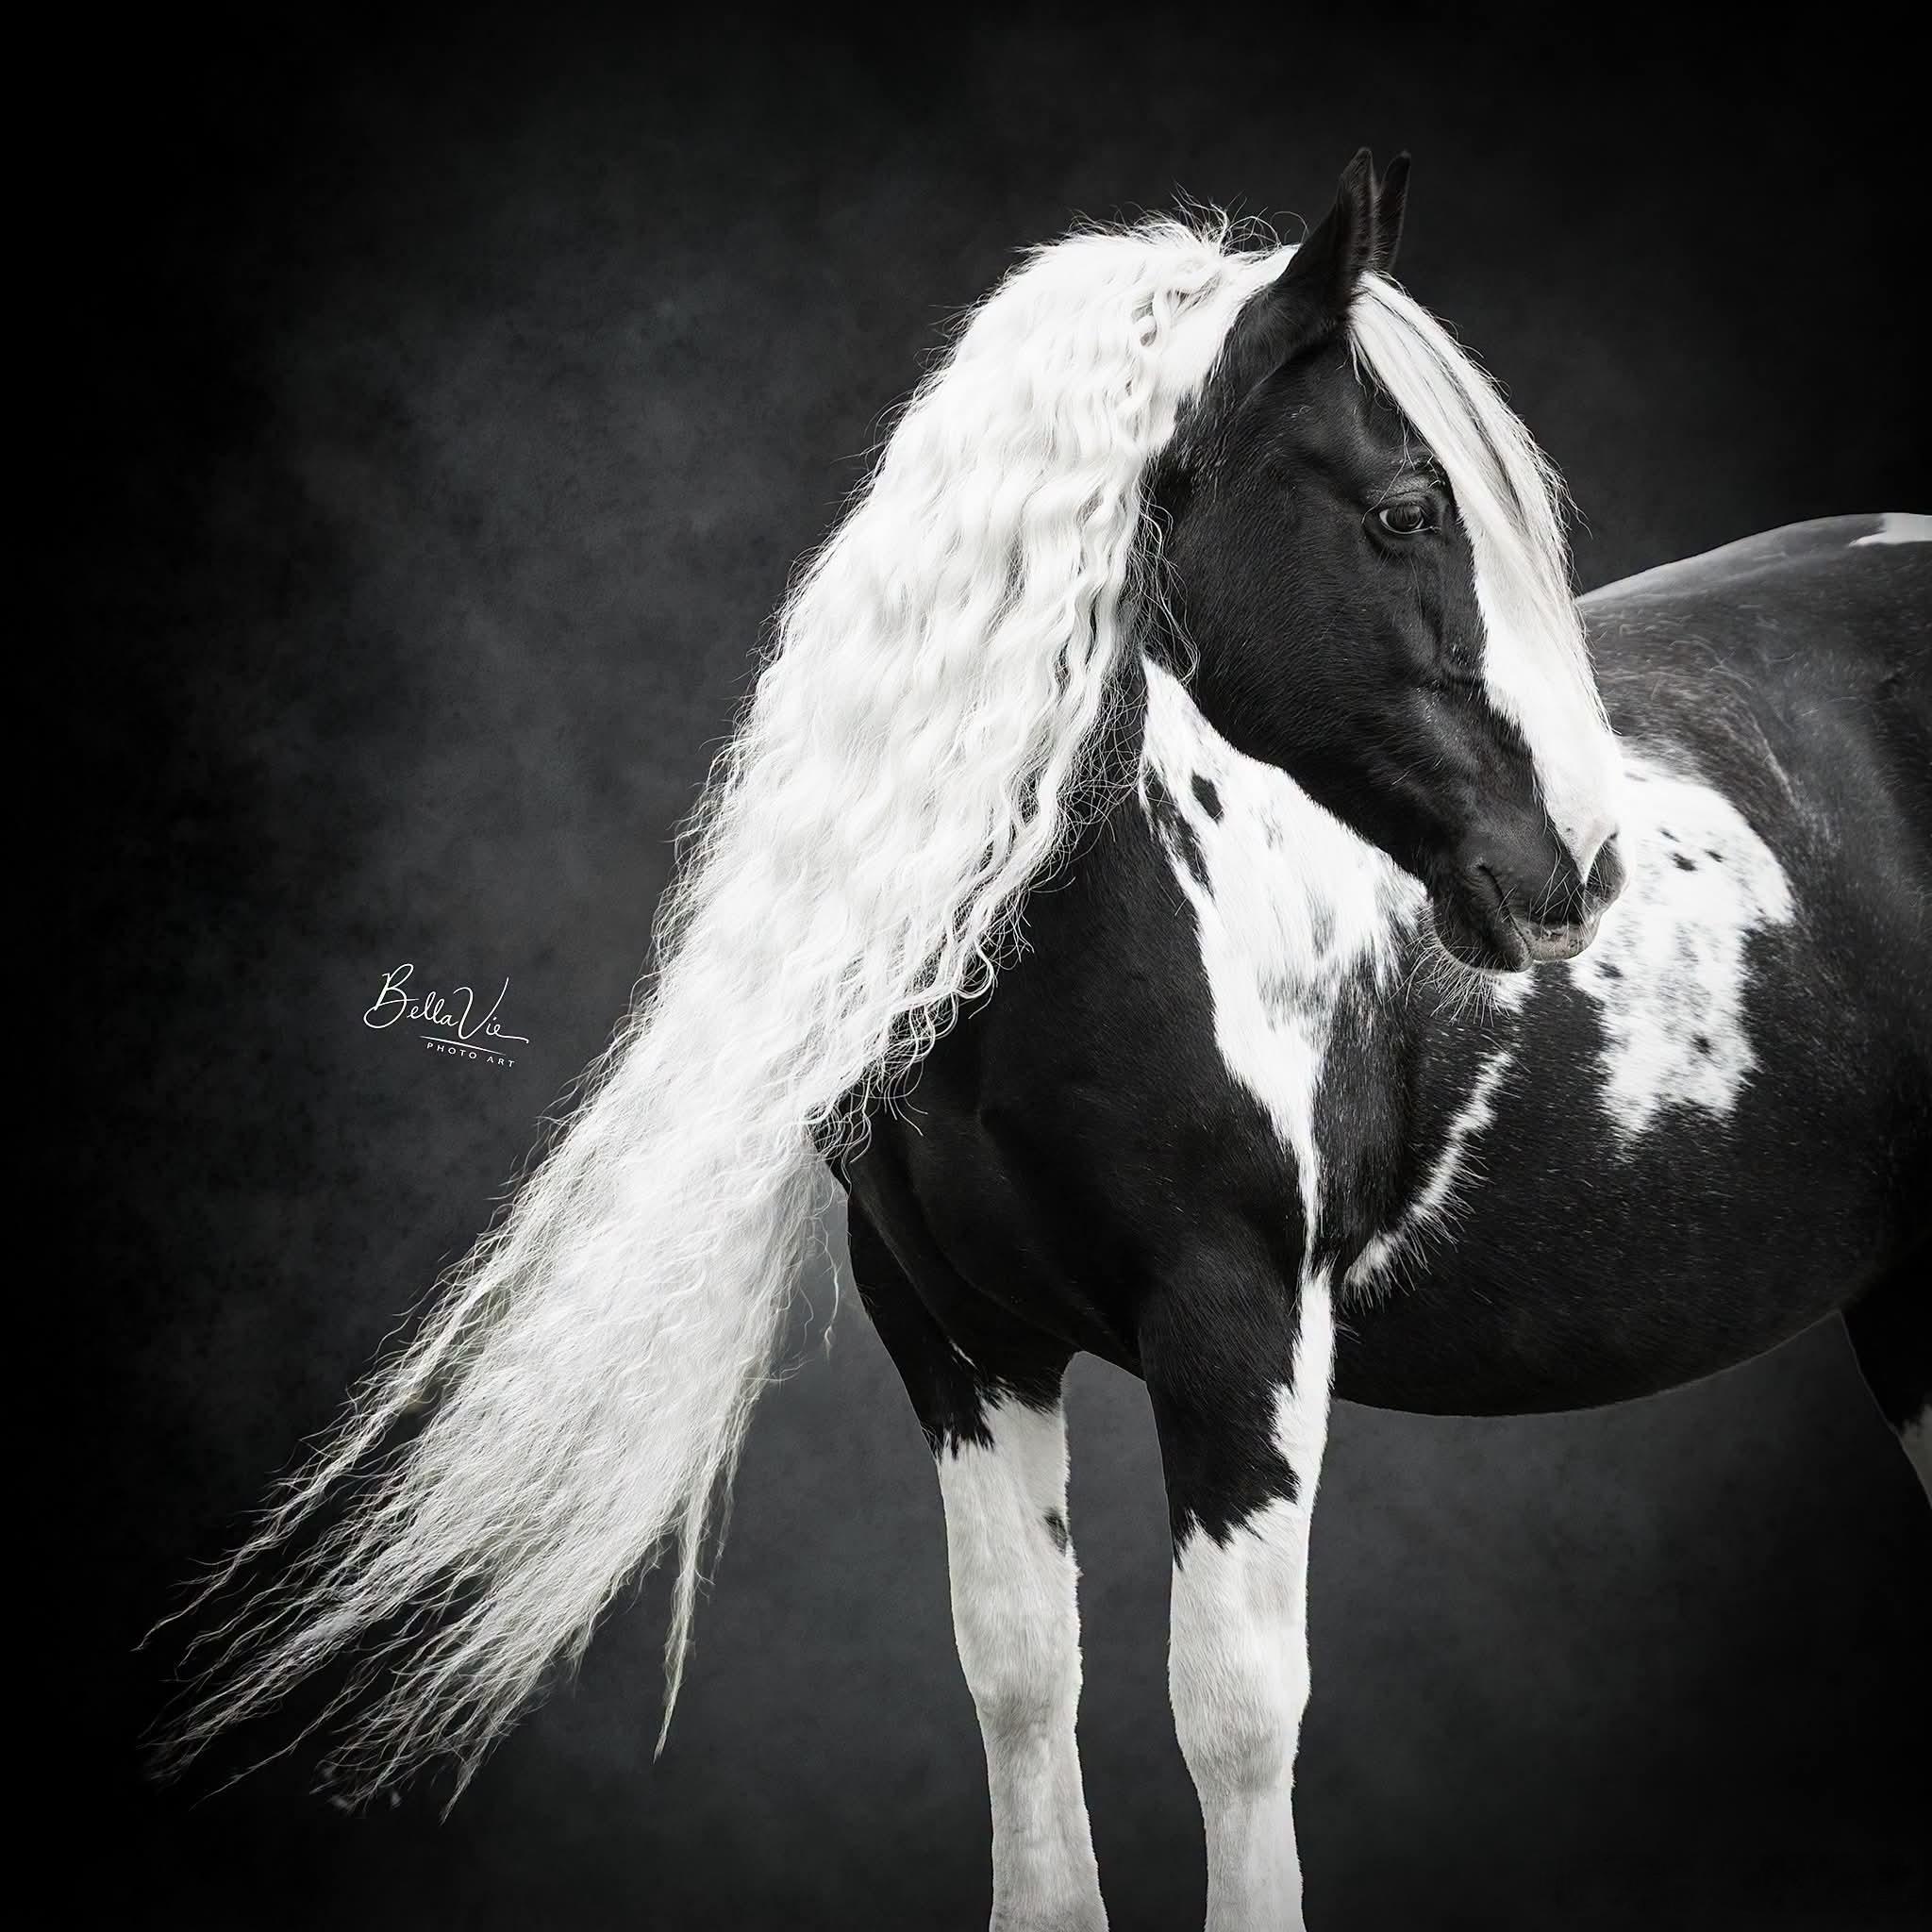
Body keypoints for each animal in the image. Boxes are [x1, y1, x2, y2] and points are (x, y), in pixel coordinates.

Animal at [152, 151, 1931, 1931]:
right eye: (1405, 513)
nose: (1578, 872)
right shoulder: (952, 1329)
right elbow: (1018, 1667)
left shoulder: (1240, 1326)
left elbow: (1232, 1708)